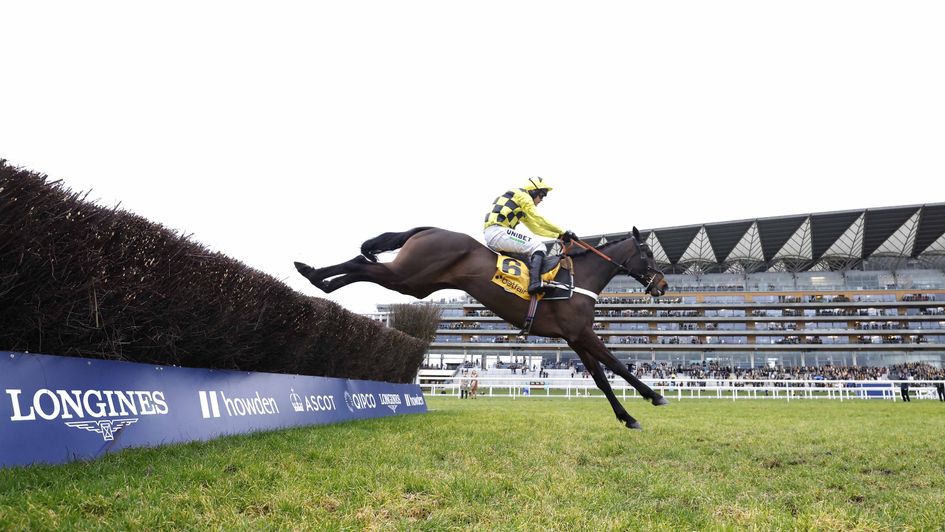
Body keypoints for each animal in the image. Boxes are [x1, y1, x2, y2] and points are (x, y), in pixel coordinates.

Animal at [296, 227, 672, 430]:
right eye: (648, 254)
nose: (663, 285)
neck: (578, 281)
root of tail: (428, 229)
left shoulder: (575, 339)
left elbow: (601, 379)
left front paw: (627, 417)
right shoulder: (583, 334)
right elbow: (618, 365)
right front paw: (654, 395)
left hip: (415, 284)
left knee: (363, 266)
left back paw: (316, 277)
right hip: (408, 275)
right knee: (362, 264)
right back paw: (311, 273)